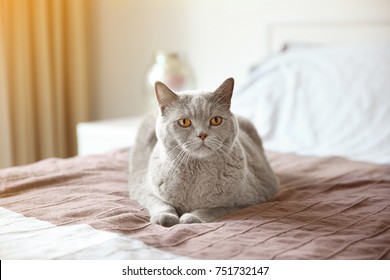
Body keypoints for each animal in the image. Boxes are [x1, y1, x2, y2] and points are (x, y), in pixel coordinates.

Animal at [129, 77, 278, 226]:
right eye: (184, 122)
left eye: (216, 120)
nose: (202, 135)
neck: (196, 174)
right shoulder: (141, 188)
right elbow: (160, 203)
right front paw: (164, 217)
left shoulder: (248, 201)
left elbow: (212, 209)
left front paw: (191, 218)